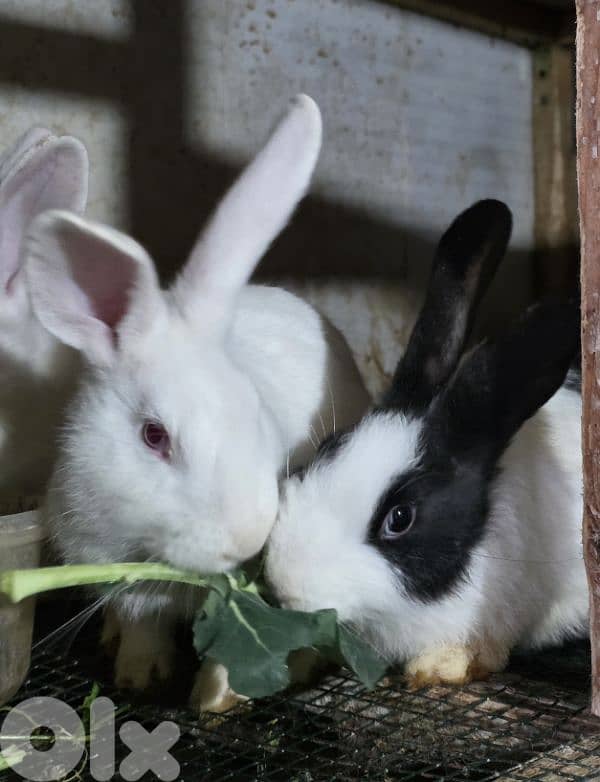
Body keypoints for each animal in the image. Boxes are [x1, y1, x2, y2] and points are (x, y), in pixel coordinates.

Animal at [24, 94, 370, 703]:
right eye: (153, 436)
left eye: (257, 415)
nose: (248, 536)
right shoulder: (110, 567)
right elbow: (141, 625)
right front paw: (139, 677)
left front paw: (218, 698)